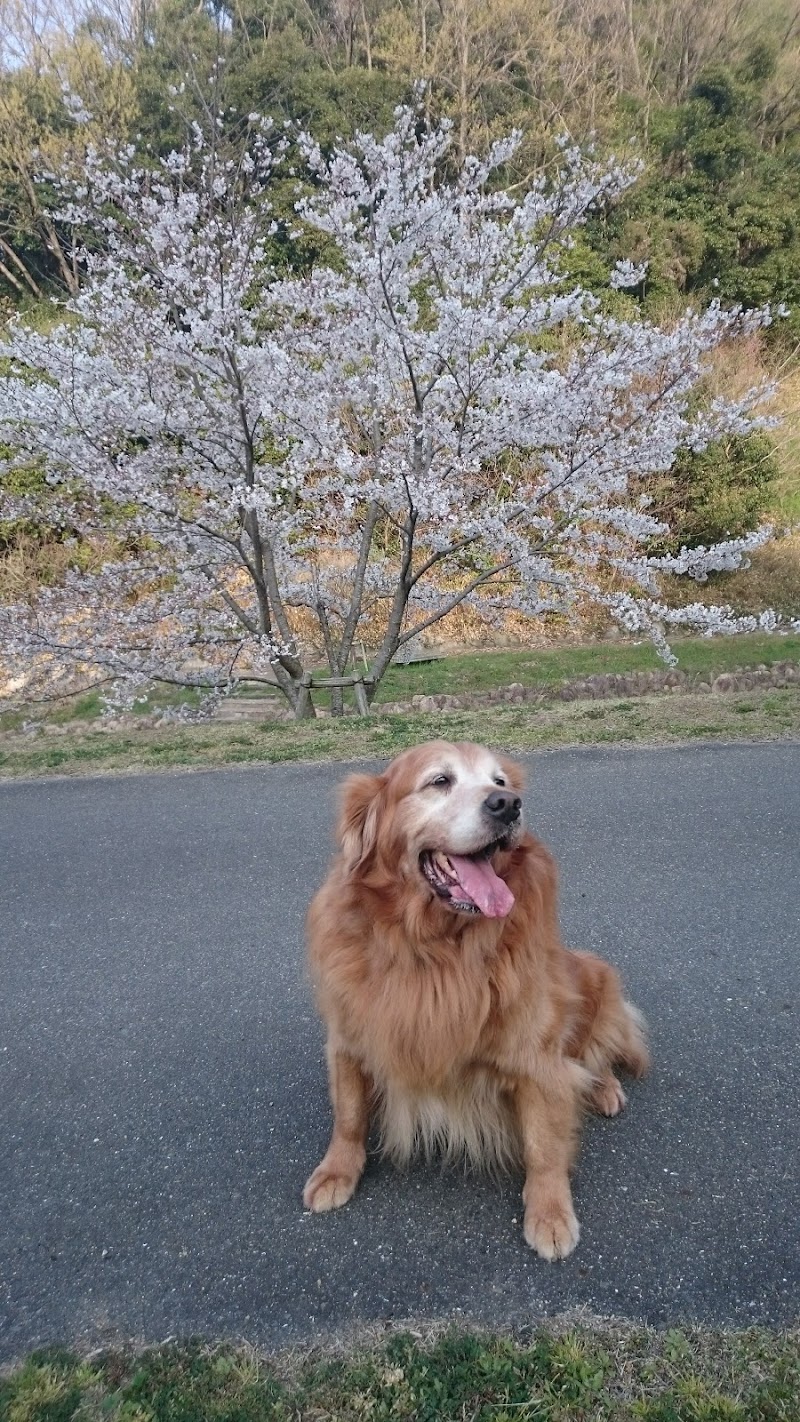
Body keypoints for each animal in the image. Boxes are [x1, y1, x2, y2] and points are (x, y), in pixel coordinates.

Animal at [303, 740, 648, 1260]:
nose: (508, 805)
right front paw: (336, 1171)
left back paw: (604, 1087)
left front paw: (549, 1213)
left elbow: (544, 1145)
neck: (433, 951)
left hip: (593, 974)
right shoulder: (347, 1036)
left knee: (593, 1053)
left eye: (499, 781)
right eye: (439, 781)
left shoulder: (536, 1059)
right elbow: (348, 1115)